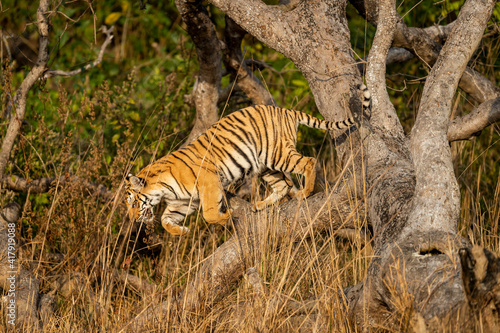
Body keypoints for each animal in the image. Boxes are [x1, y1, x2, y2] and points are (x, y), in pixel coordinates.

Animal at [125, 84, 372, 235]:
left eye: (133, 202)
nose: (131, 219)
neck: (163, 189)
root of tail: (287, 110)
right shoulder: (183, 202)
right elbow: (166, 220)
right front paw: (181, 231)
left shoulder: (208, 181)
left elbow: (209, 213)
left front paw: (226, 217)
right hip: (265, 166)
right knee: (284, 185)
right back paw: (260, 205)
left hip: (277, 154)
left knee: (309, 162)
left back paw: (304, 193)